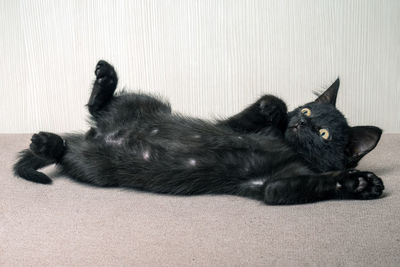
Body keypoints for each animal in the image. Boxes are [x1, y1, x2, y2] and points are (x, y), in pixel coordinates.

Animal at [13, 60, 384, 205]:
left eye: (323, 134)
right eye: (307, 111)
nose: (302, 123)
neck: (288, 146)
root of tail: (97, 135)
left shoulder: (275, 186)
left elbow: (310, 183)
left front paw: (358, 184)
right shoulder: (232, 125)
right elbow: (268, 104)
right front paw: (275, 110)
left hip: (94, 167)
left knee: (66, 150)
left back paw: (48, 142)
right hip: (144, 103)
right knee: (96, 107)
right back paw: (105, 79)